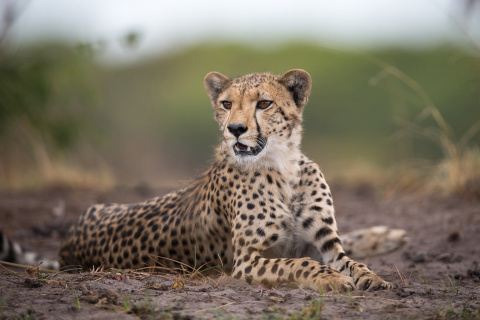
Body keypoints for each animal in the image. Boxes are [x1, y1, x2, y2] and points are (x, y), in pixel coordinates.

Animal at [57, 69, 404, 292]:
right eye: (226, 104)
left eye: (264, 103)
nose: (235, 129)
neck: (283, 168)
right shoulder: (246, 261)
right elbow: (301, 263)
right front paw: (332, 279)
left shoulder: (327, 244)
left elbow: (353, 263)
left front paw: (374, 278)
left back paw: (387, 236)